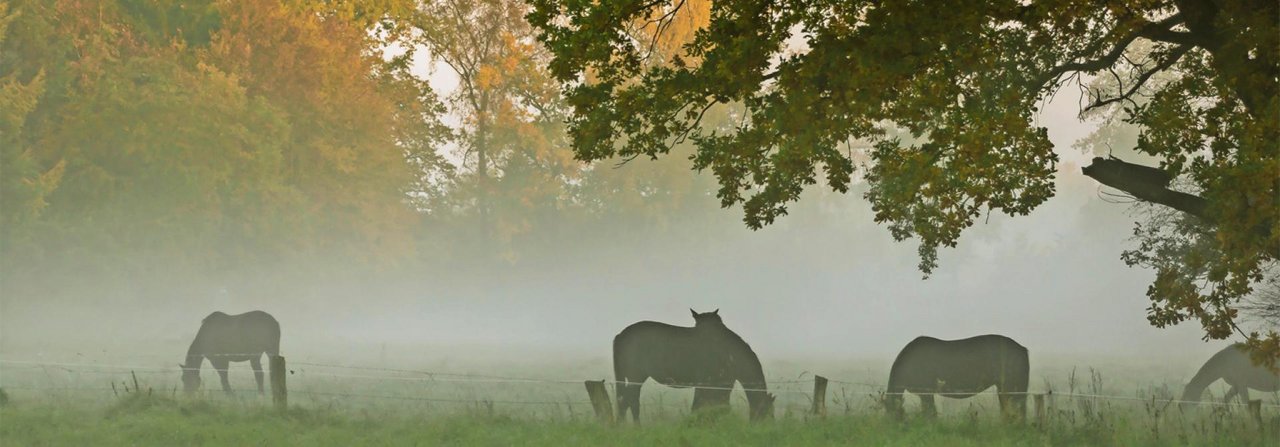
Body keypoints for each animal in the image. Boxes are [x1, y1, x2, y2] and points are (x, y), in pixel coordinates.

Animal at [611, 308, 773, 420]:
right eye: (767, 412)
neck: (728, 351)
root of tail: (620, 335)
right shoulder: (717, 384)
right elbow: (706, 406)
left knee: (625, 401)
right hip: (636, 377)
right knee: (630, 401)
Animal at [880, 333, 1029, 417]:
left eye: (891, 412)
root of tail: (1023, 349)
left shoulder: (926, 393)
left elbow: (930, 414)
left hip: (1011, 386)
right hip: (1006, 388)